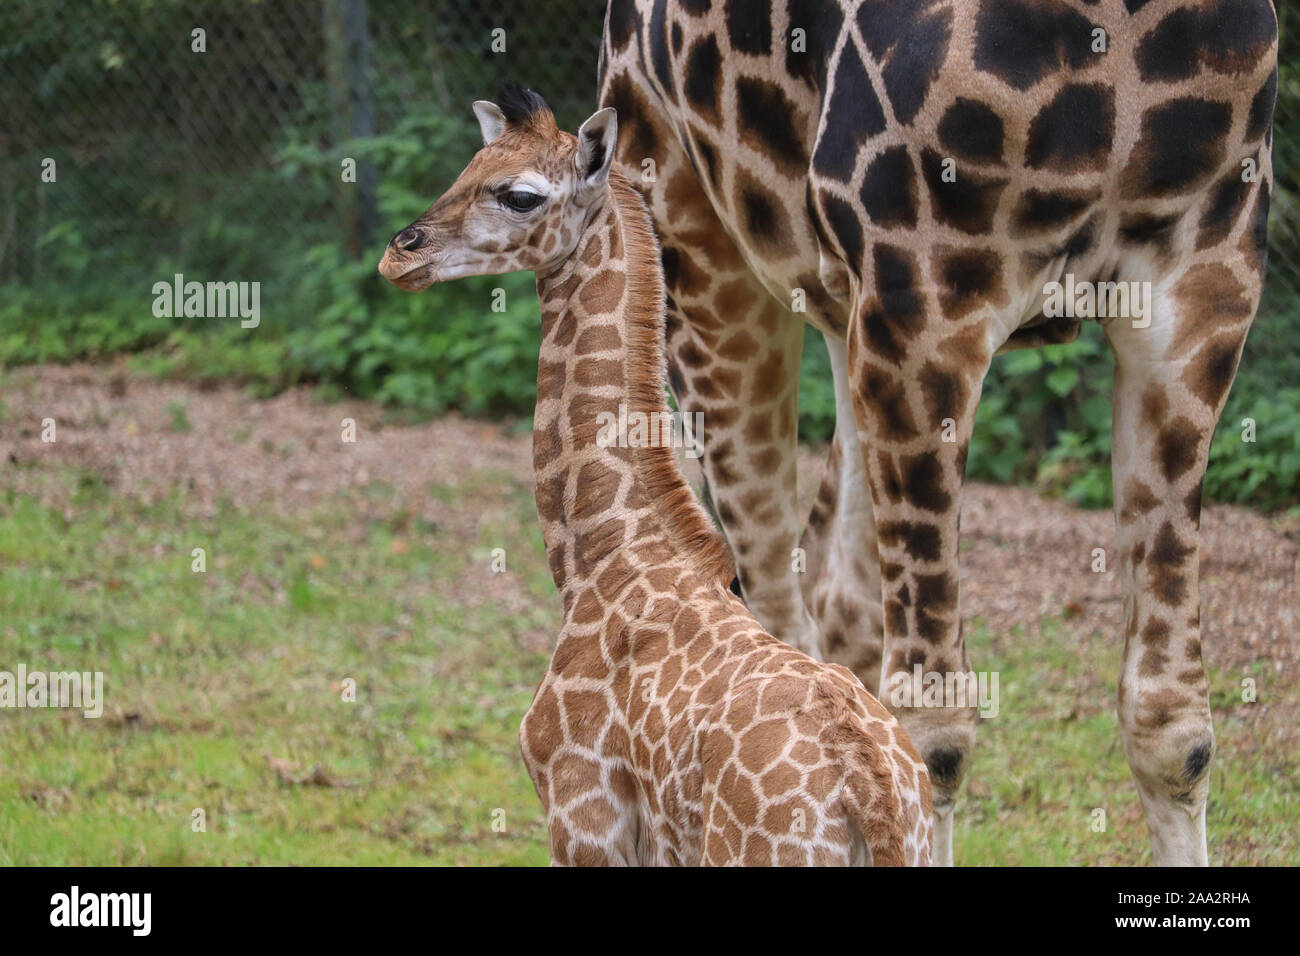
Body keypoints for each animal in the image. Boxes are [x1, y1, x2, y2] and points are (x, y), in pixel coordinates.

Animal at [376, 86, 932, 866]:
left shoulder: (582, 822)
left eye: (519, 195)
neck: (605, 553)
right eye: (468, 166)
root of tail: (868, 791)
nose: (399, 254)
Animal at [598, 0, 1278, 865]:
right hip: (699, 239)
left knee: (839, 613)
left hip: (835, 309)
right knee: (773, 615)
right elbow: (936, 734)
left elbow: (1176, 727)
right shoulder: (920, 296)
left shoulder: (1208, 279)